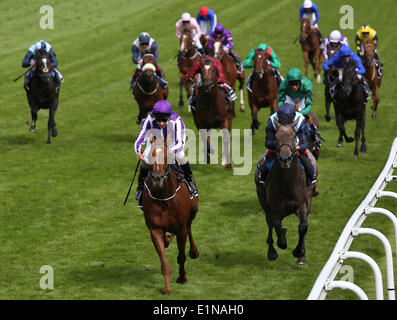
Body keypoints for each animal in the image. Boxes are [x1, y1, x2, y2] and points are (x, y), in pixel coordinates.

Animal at [142, 136, 198, 296]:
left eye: (167, 156)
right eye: (151, 155)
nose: (157, 179)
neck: (163, 199)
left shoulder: (181, 228)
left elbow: (181, 256)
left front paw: (182, 277)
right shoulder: (154, 228)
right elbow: (164, 262)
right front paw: (167, 289)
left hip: (193, 211)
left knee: (190, 226)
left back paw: (194, 251)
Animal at [254, 119, 316, 264]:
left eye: (294, 137)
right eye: (276, 137)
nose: (285, 158)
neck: (288, 182)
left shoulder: (302, 203)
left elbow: (303, 227)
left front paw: (299, 252)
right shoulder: (273, 207)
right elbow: (276, 227)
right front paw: (281, 239)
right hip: (262, 200)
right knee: (270, 223)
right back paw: (271, 251)